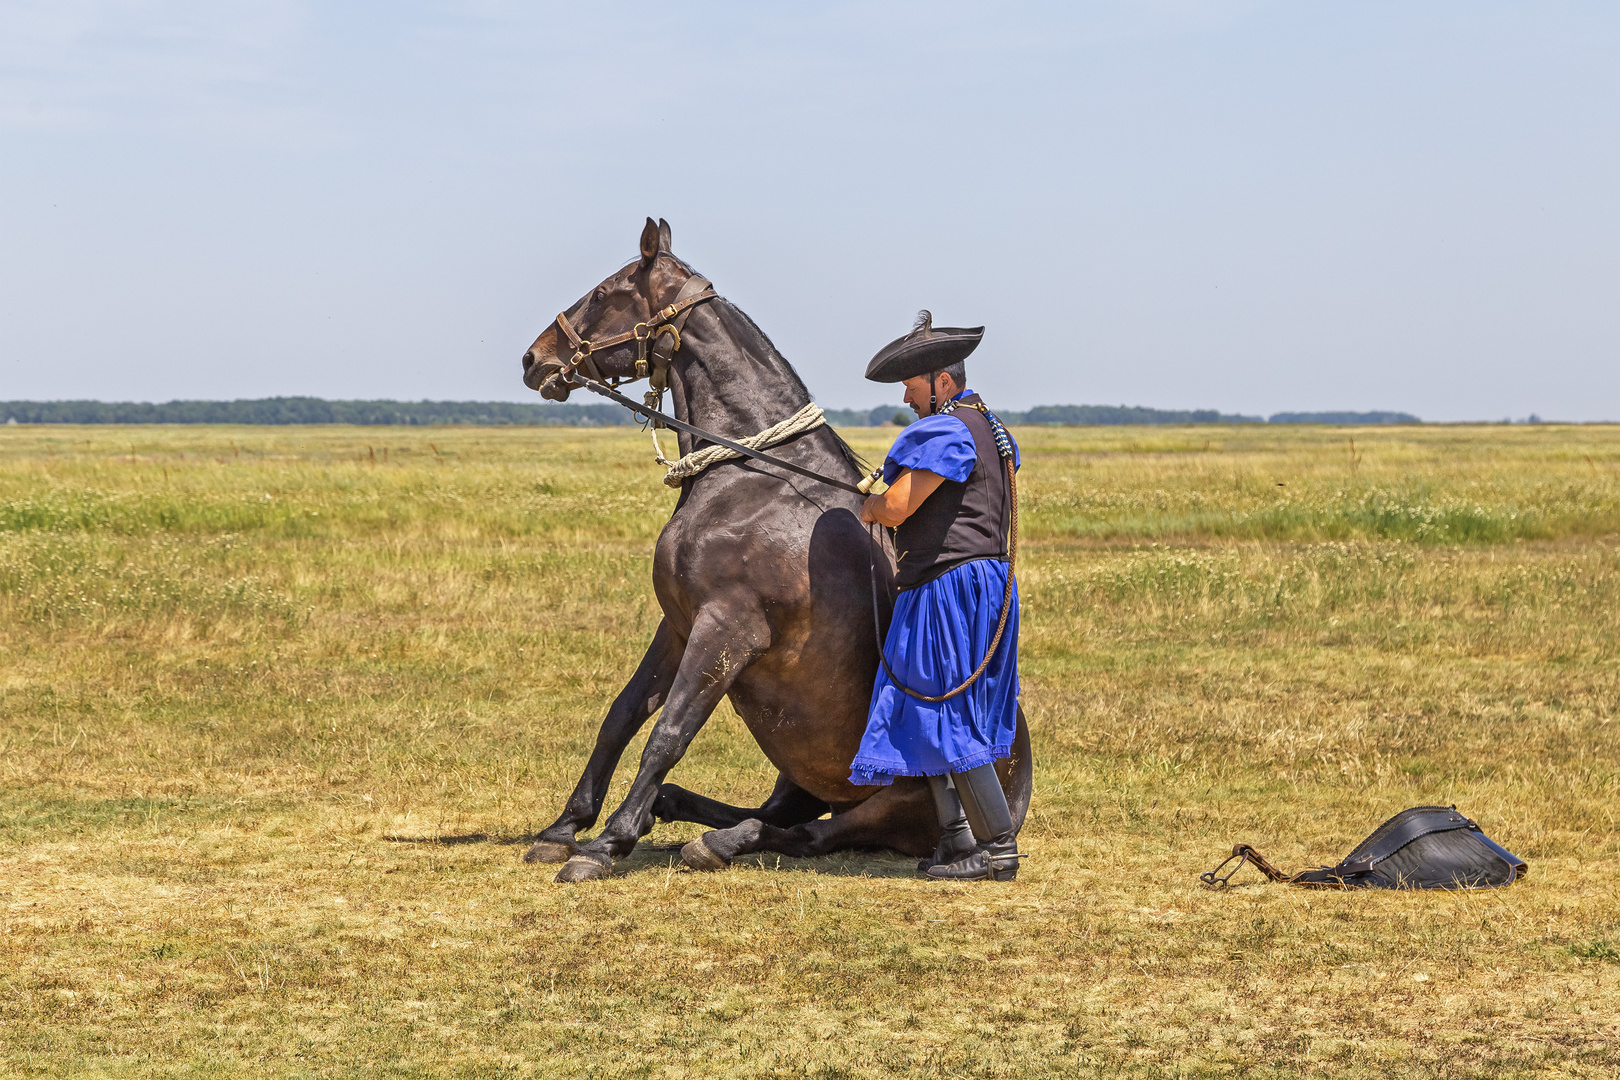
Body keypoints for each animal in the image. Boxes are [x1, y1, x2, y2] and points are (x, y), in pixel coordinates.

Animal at [511, 215, 1030, 880]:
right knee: (778, 811)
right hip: (801, 772)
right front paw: (565, 826)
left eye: (605, 293)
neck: (751, 478)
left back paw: (714, 839)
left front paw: (606, 843)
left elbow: (669, 733)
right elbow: (622, 716)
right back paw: (675, 813)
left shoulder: (727, 630)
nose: (536, 358)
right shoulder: (678, 625)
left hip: (882, 806)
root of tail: (1018, 803)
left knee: (805, 833)